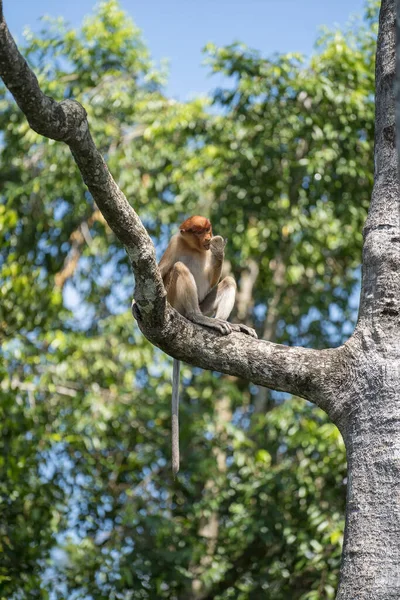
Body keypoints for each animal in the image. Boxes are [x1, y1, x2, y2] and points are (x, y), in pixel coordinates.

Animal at [158, 214, 258, 474]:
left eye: (208, 230)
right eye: (198, 231)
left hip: (206, 304)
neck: (193, 247)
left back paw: (227, 325)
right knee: (179, 269)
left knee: (228, 281)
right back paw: (198, 318)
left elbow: (215, 278)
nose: (208, 238)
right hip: (175, 301)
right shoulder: (173, 243)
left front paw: (219, 247)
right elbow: (162, 271)